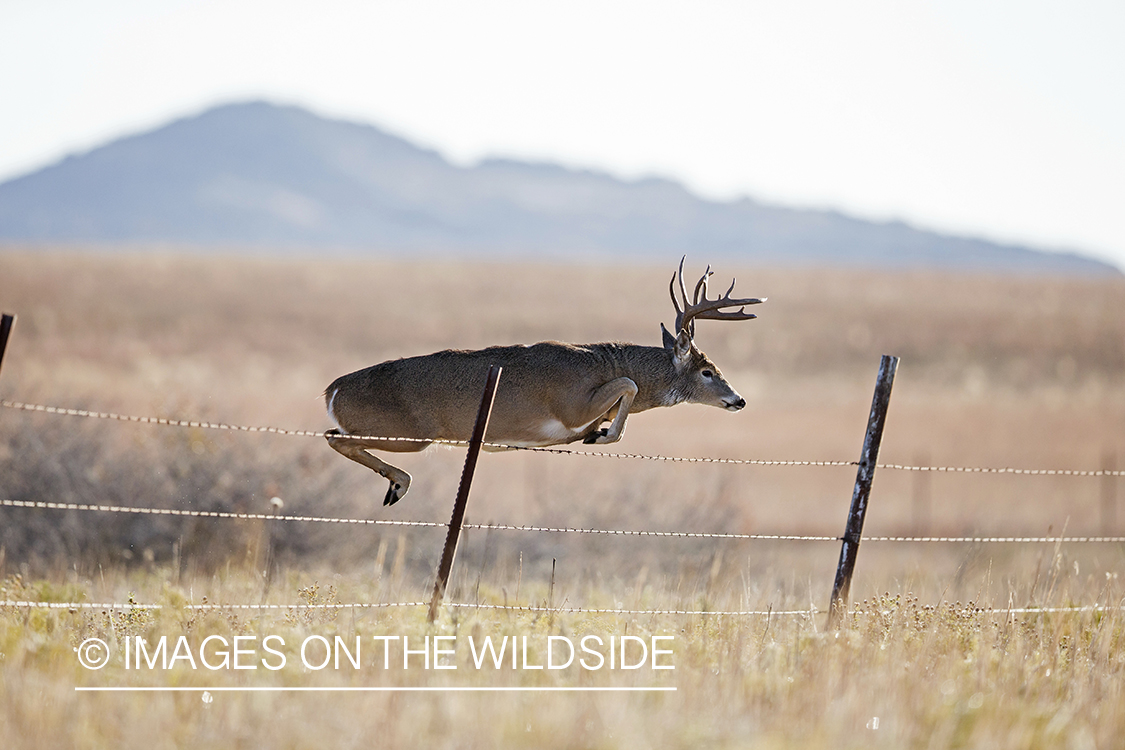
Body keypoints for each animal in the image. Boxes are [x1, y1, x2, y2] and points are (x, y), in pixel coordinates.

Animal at [326, 258, 765, 503]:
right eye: (707, 371)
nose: (739, 400)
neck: (603, 360)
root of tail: (333, 390)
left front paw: (598, 432)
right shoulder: (572, 405)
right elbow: (628, 386)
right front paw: (602, 434)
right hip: (409, 434)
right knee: (336, 437)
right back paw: (398, 484)